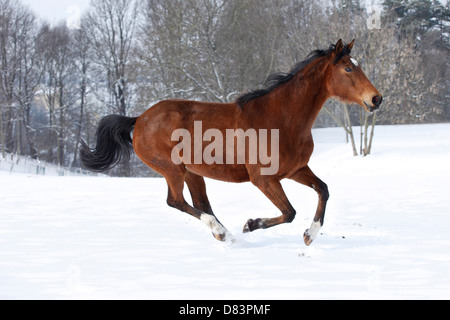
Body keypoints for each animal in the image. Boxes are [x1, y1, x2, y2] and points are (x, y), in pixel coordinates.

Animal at [81, 39, 384, 245]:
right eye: (348, 69)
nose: (376, 98)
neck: (282, 118)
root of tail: (139, 119)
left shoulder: (296, 170)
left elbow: (323, 190)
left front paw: (310, 235)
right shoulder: (264, 179)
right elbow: (289, 212)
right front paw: (250, 224)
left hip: (193, 173)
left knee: (200, 203)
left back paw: (223, 234)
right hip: (171, 169)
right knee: (176, 201)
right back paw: (221, 232)